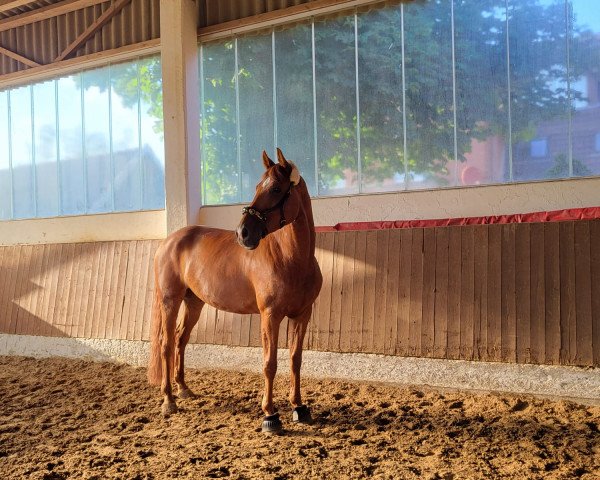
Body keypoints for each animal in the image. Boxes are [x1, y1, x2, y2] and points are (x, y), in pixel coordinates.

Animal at [147, 149, 322, 432]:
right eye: (257, 186)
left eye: (275, 188)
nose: (244, 233)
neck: (292, 259)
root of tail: (169, 241)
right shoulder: (270, 316)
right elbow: (269, 363)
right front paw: (270, 415)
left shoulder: (302, 315)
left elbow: (295, 359)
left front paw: (299, 407)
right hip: (170, 301)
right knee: (167, 343)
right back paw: (169, 401)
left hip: (194, 303)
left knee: (181, 339)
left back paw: (183, 389)